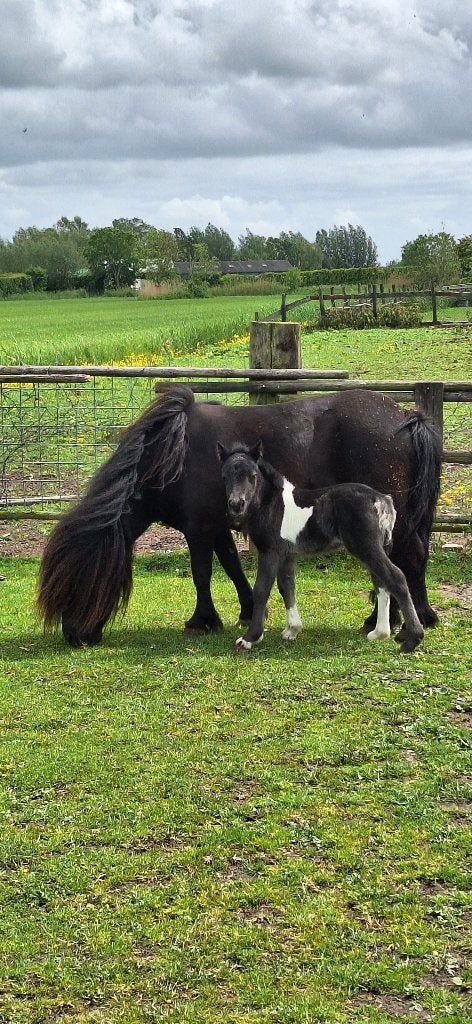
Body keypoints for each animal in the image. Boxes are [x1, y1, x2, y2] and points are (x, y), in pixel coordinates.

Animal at [217, 441, 425, 654]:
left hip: (366, 547)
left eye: (252, 475)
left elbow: (261, 589)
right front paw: (292, 630)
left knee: (396, 577)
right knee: (381, 582)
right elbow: (287, 586)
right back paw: (379, 633)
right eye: (224, 476)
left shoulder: (270, 552)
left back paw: (412, 639)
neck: (272, 504)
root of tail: (382, 501)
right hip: (374, 548)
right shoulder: (287, 556)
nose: (236, 504)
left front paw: (250, 638)